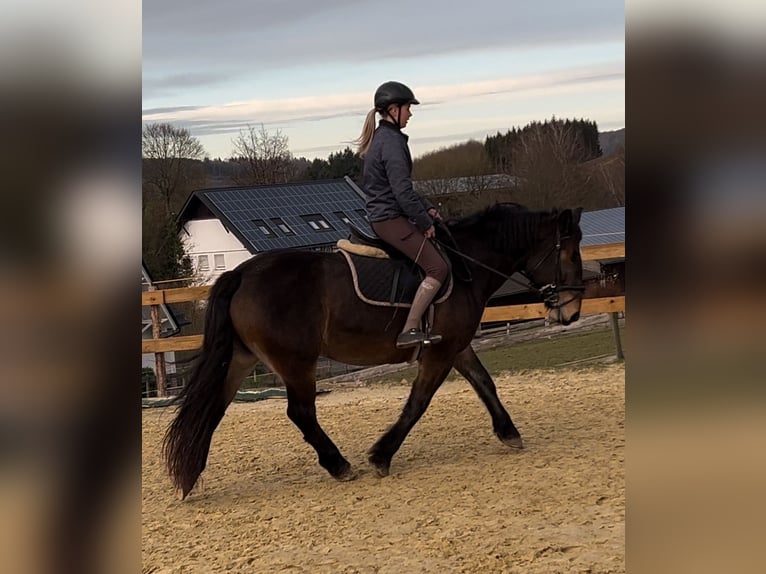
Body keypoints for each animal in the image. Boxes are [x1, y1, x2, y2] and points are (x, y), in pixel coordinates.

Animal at [165, 204, 584, 500]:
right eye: (570, 254)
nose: (572, 312)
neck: (466, 264)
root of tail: (241, 274)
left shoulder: (456, 346)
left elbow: (485, 384)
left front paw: (509, 432)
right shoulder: (439, 351)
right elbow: (418, 403)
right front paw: (381, 455)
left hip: (241, 359)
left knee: (212, 408)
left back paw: (191, 474)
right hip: (297, 363)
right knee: (300, 413)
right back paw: (338, 465)